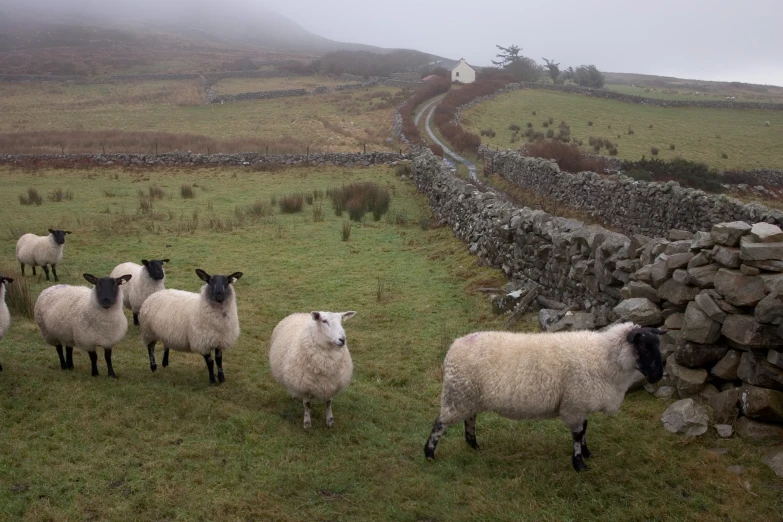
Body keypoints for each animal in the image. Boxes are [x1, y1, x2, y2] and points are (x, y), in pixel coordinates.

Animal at [426, 322, 664, 470]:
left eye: (658, 345)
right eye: (644, 346)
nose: (658, 375)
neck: (602, 357)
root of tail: (454, 346)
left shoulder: (580, 403)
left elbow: (585, 430)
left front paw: (587, 452)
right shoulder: (574, 404)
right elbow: (578, 434)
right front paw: (579, 464)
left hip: (470, 396)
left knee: (470, 419)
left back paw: (474, 445)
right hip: (458, 395)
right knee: (440, 424)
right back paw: (429, 454)